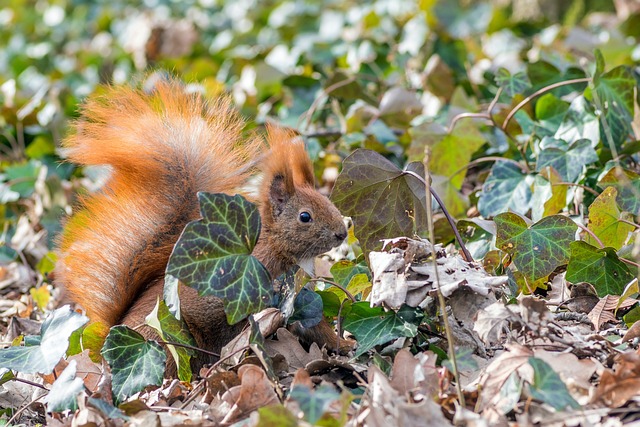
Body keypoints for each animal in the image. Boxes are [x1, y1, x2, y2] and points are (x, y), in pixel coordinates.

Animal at [56, 78, 350, 372]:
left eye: (327, 200)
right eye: (305, 217)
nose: (342, 233)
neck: (283, 253)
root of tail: (109, 346)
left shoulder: (300, 297)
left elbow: (316, 327)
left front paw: (344, 344)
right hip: (169, 339)